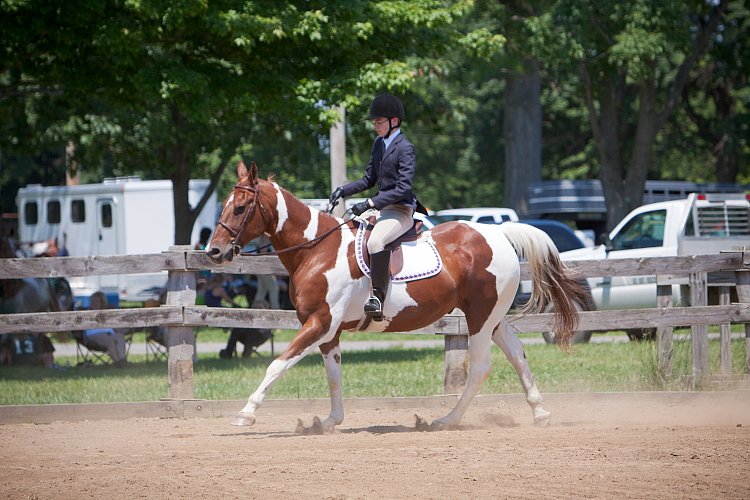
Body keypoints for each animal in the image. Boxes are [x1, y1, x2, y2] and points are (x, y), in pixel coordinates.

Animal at [207, 162, 592, 432]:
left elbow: (278, 364)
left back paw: (446, 420)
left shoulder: (319, 323)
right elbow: (334, 375)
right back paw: (539, 413)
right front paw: (330, 421)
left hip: (480, 318)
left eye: (240, 208)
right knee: (517, 354)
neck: (316, 249)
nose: (213, 252)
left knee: (481, 367)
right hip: (492, 318)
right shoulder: (327, 331)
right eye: (225, 204)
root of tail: (497, 232)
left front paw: (246, 413)